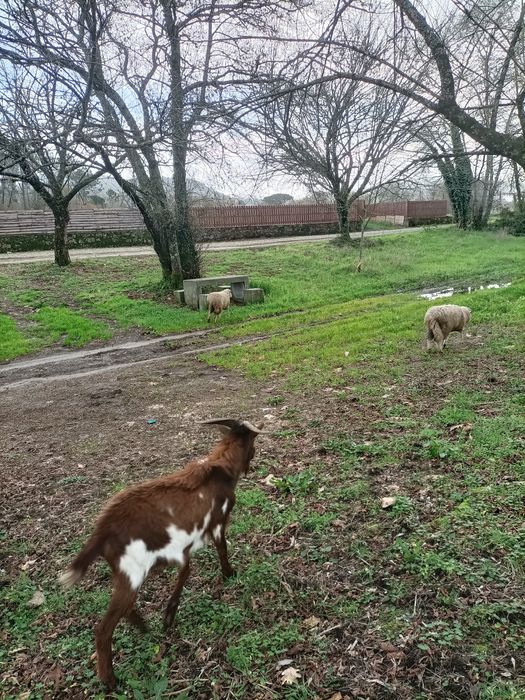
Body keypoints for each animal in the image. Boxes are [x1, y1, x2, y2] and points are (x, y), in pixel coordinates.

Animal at [58, 418, 263, 689]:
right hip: (132, 569)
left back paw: (142, 626)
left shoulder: (180, 546)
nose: (253, 460)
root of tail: (102, 530)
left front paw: (168, 615)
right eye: (253, 442)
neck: (222, 468)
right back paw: (111, 680)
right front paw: (229, 574)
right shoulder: (216, 522)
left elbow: (186, 570)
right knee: (104, 628)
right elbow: (220, 549)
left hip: (128, 569)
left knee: (124, 605)